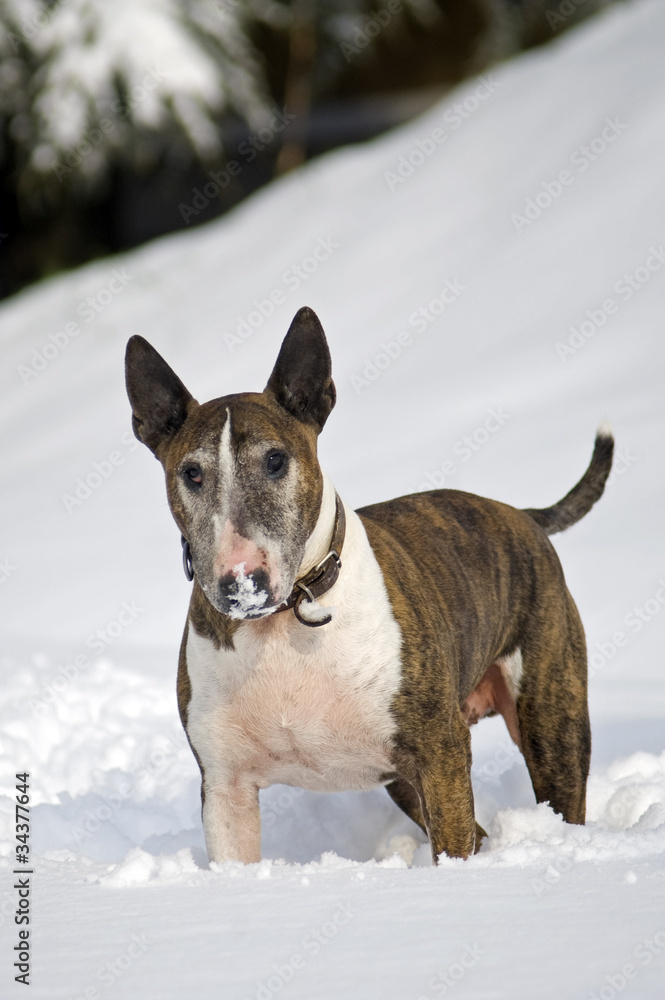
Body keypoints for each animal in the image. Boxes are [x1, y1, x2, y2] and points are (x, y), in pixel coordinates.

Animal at [124, 308, 612, 864]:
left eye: (275, 460)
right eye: (192, 473)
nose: (241, 582)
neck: (285, 624)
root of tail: (523, 515)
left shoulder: (441, 751)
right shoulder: (226, 786)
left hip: (550, 719)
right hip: (407, 777)